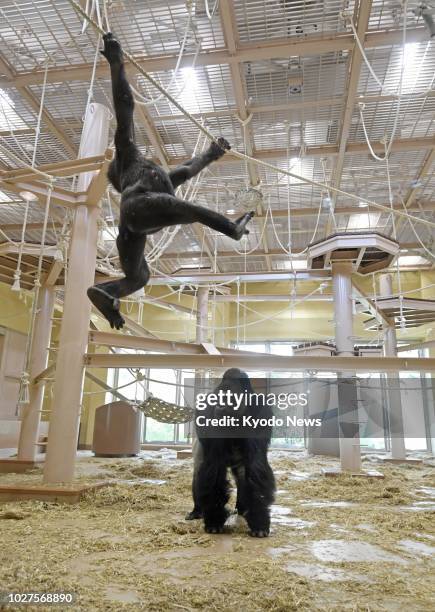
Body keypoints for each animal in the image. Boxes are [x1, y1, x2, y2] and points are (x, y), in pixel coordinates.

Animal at [86, 33, 254, 330]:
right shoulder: (127, 149)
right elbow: (125, 106)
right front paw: (116, 58)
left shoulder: (166, 174)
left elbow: (184, 171)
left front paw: (214, 151)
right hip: (141, 213)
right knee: (185, 209)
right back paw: (233, 229)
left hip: (131, 234)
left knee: (138, 276)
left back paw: (100, 296)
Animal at [187, 368, 276, 536]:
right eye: (219, 397)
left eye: (228, 397)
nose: (220, 407)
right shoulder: (206, 410)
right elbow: (213, 464)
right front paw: (214, 519)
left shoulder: (262, 411)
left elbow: (255, 464)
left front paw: (259, 519)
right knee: (199, 468)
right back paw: (197, 511)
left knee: (241, 475)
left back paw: (242, 509)